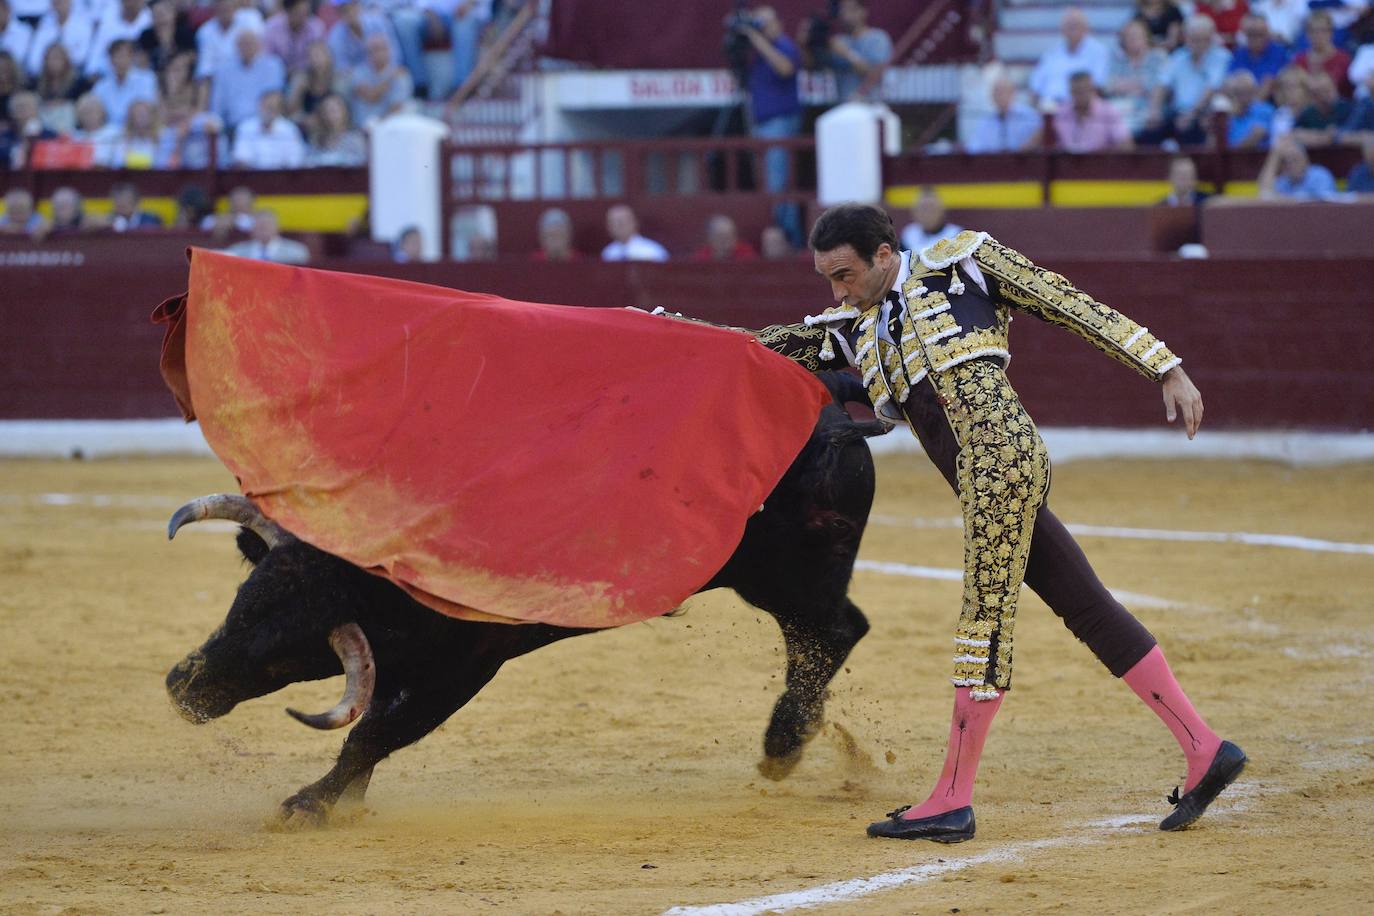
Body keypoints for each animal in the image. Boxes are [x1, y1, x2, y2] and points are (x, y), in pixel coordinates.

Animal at [166, 384, 884, 829]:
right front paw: (347, 801)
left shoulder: (469, 665)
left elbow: (375, 732)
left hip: (789, 575)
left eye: (283, 656)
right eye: (240, 604)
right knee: (825, 634)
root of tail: (833, 412)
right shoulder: (401, 655)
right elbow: (373, 726)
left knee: (835, 631)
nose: (182, 688)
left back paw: (783, 742)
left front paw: (308, 806)